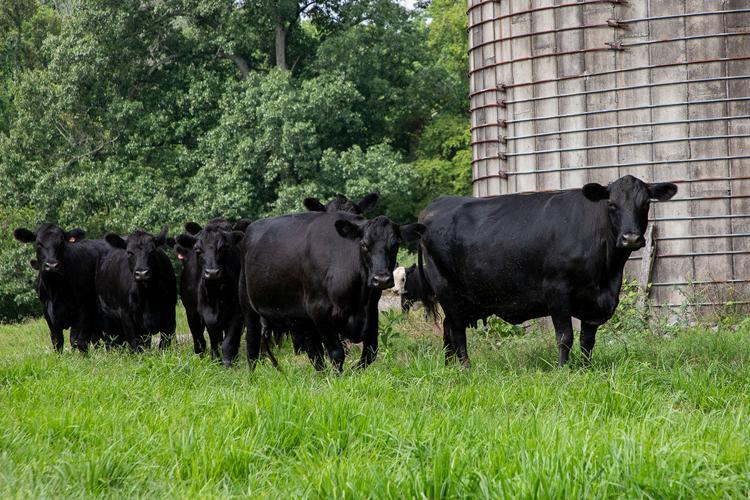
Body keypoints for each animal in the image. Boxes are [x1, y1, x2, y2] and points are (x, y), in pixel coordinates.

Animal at [13, 223, 109, 352]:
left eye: (61, 243)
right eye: (38, 243)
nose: (52, 265)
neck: (55, 289)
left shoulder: (85, 307)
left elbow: (80, 341)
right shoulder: (47, 312)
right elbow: (57, 340)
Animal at [174, 219, 249, 359]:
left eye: (224, 247)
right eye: (197, 249)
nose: (212, 272)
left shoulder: (237, 312)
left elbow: (229, 342)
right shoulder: (193, 312)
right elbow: (204, 340)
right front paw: (212, 359)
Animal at [236, 212, 425, 371]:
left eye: (395, 244)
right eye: (364, 245)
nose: (381, 279)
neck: (358, 299)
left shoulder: (371, 310)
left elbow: (370, 352)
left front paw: (351, 373)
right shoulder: (320, 312)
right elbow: (336, 353)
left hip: (302, 318)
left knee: (314, 354)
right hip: (249, 307)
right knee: (252, 346)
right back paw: (252, 377)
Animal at [418, 175, 677, 368]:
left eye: (645, 204)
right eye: (612, 204)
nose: (630, 238)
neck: (606, 274)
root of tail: (435, 206)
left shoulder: (595, 300)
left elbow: (588, 340)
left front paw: (586, 368)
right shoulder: (557, 290)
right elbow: (565, 337)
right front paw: (563, 369)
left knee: (448, 328)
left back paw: (450, 367)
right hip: (446, 288)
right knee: (457, 331)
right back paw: (466, 368)